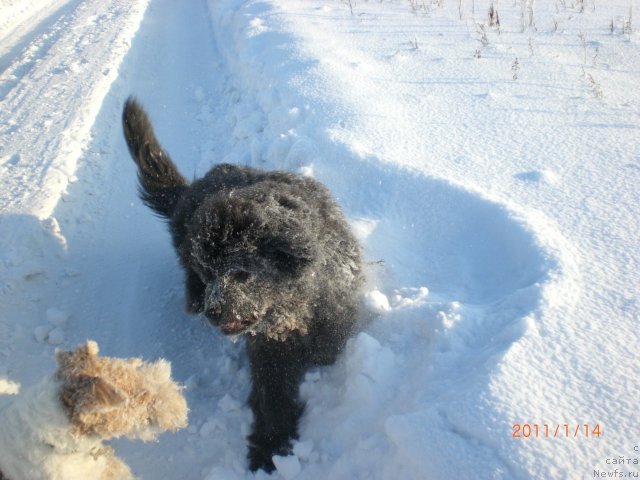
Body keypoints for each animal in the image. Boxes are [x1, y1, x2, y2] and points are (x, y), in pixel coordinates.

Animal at [122, 98, 362, 472]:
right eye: (206, 275)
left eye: (241, 273)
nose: (212, 310)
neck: (294, 311)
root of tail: (190, 191)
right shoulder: (267, 352)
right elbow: (272, 397)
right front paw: (269, 446)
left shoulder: (332, 326)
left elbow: (325, 351)